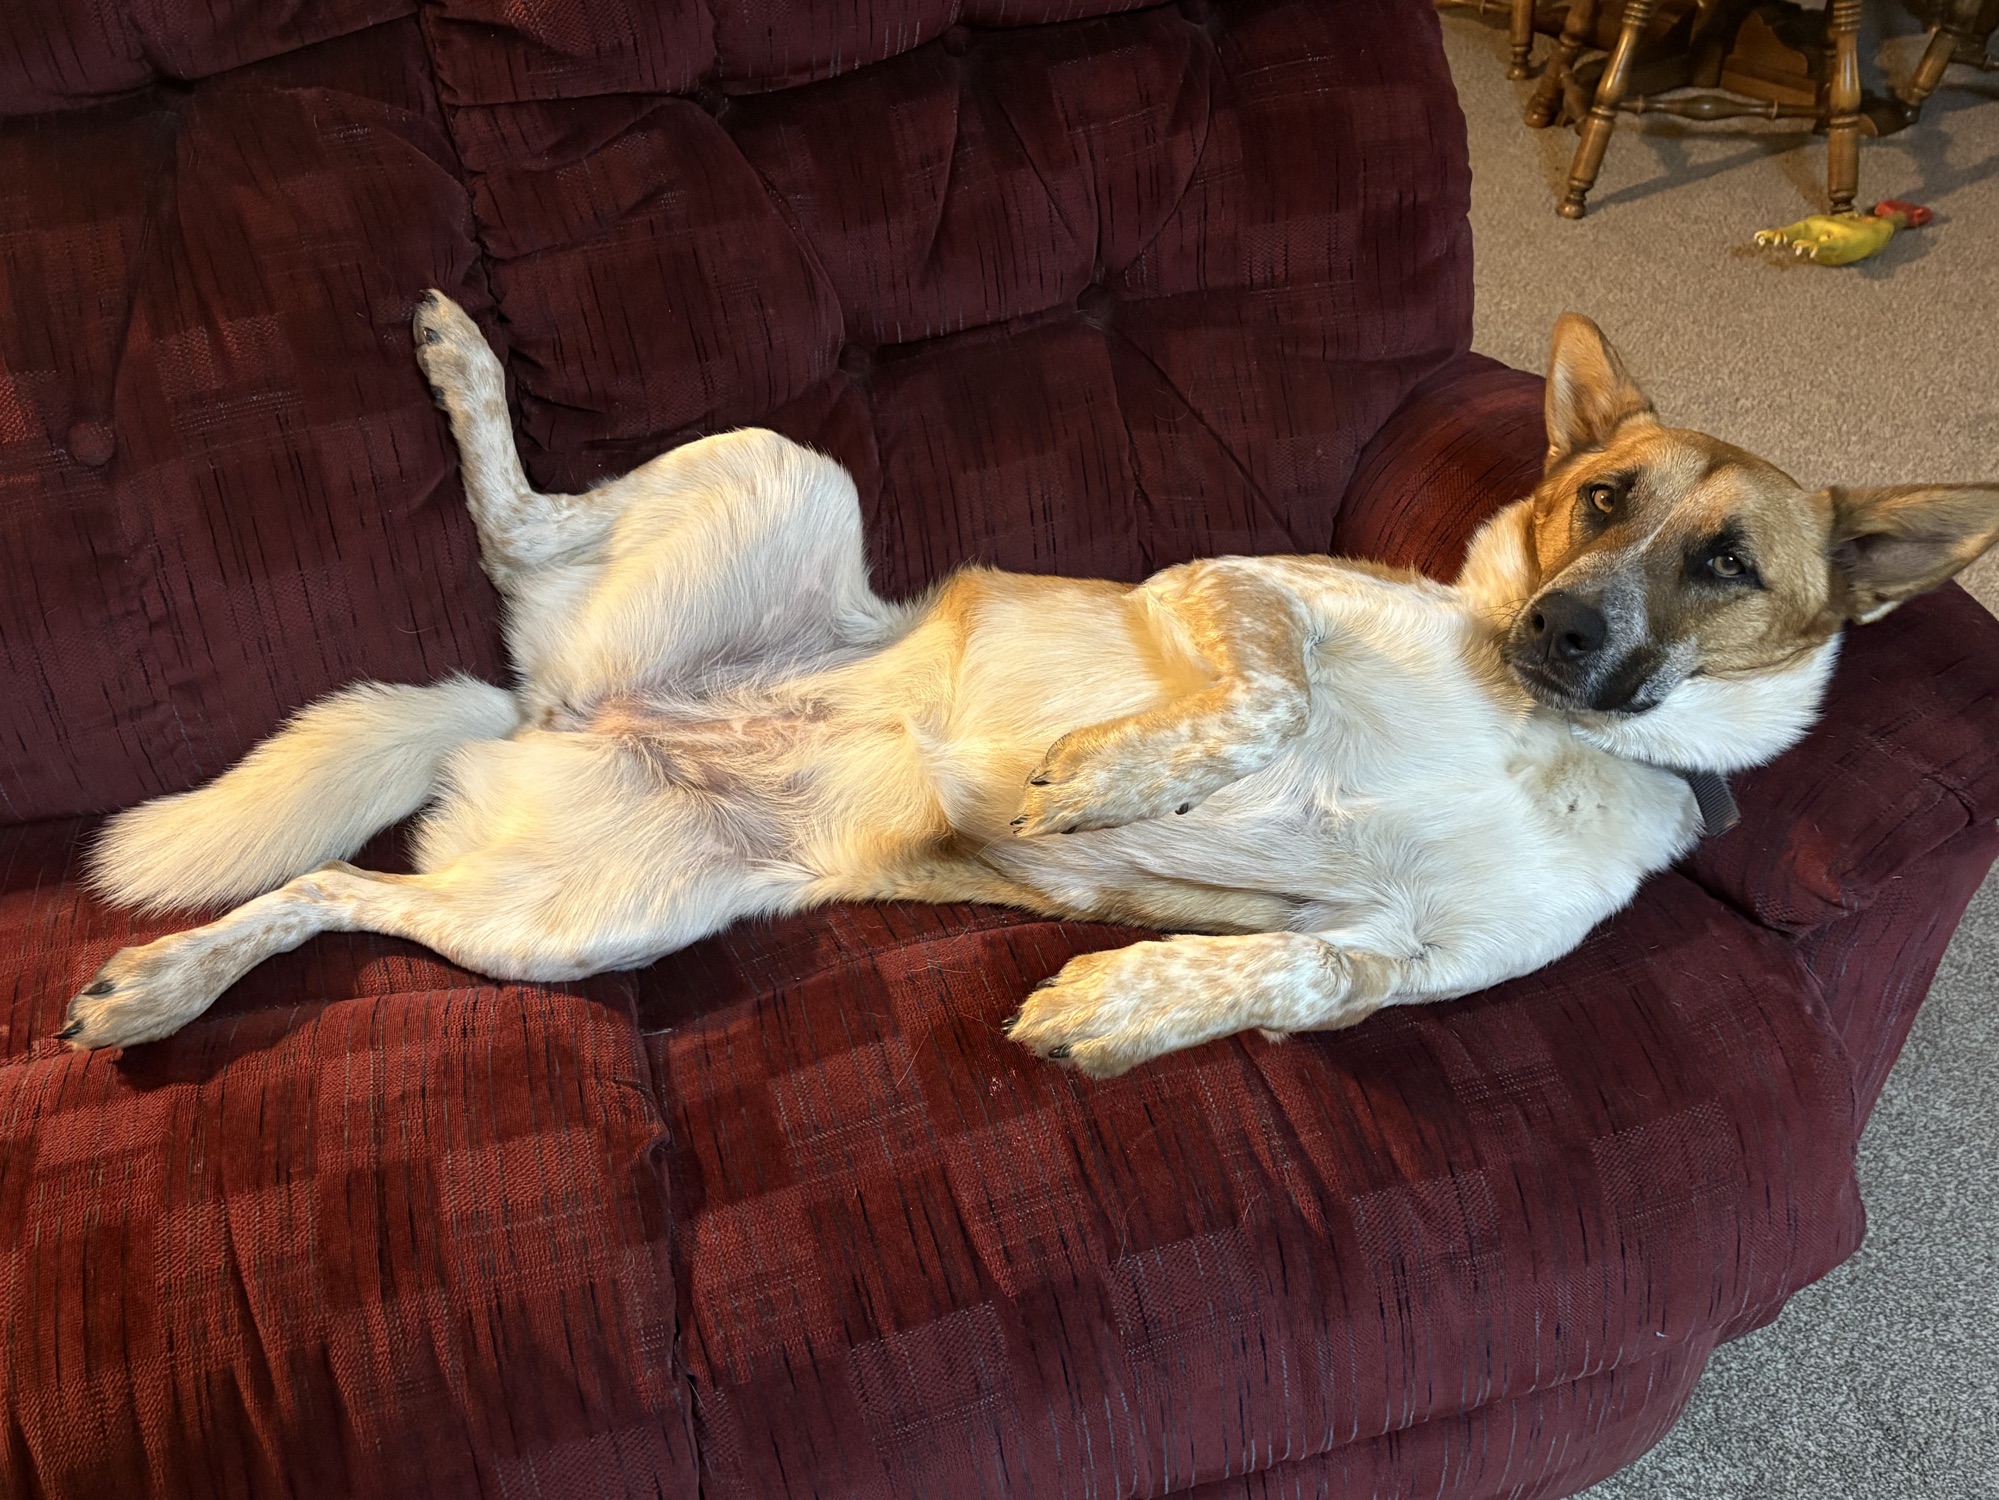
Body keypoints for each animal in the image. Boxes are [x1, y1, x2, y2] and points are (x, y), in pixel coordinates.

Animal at [59, 296, 1999, 1075]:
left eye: (1723, 563)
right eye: (1596, 497)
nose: (1560, 634)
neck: (1532, 737)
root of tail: (549, 711)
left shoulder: (1403, 965)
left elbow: (1287, 971)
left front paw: (1118, 1005)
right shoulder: (1235, 590)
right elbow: (1259, 695)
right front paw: (1107, 784)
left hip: (576, 926)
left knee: (329, 890)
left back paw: (162, 986)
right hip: (788, 471)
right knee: (513, 520)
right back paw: (460, 357)